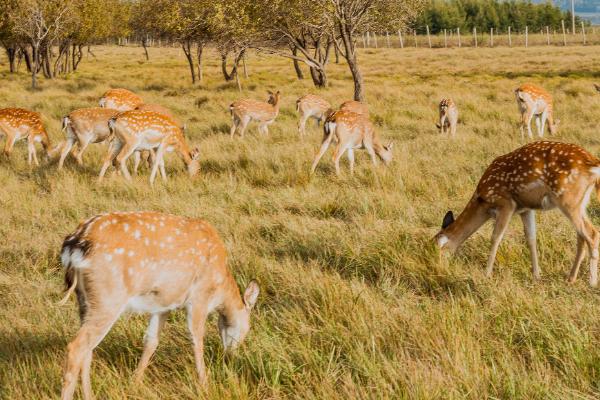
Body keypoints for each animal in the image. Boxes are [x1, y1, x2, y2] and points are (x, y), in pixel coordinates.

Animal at [56, 211, 260, 398]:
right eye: (247, 328)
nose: (230, 356)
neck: (220, 287)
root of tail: (76, 243)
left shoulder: (163, 303)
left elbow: (151, 340)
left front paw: (135, 382)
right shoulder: (199, 297)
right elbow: (196, 338)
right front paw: (204, 384)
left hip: (85, 300)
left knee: (88, 349)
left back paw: (90, 395)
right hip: (108, 296)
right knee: (76, 347)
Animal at [434, 142, 600, 286]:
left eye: (436, 249)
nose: (437, 270)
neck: (482, 201)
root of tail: (593, 163)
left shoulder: (506, 203)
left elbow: (496, 237)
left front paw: (486, 275)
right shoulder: (525, 209)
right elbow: (531, 238)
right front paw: (536, 276)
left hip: (567, 199)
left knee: (592, 233)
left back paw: (591, 282)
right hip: (580, 202)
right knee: (581, 235)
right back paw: (571, 278)